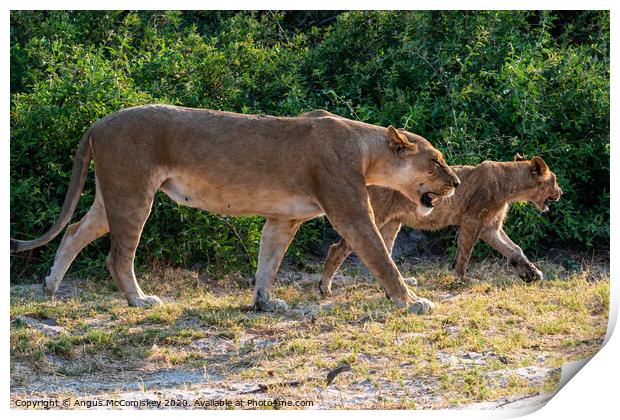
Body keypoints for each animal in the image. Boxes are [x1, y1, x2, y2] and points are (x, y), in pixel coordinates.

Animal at [320, 154, 560, 296]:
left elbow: (514, 250)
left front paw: (532, 274)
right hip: (374, 217)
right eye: (555, 180)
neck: (511, 184)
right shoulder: (473, 219)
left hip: (392, 222)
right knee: (338, 248)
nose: (561, 192)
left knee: (384, 253)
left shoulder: (490, 228)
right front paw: (460, 279)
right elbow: (465, 253)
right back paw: (325, 288)